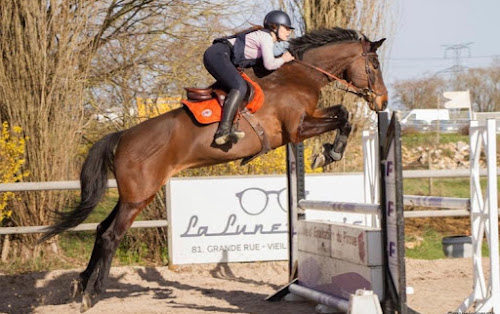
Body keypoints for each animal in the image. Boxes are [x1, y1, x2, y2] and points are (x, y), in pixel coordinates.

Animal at [41, 27, 388, 312]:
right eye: (374, 65)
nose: (382, 103)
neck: (299, 76)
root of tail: (122, 136)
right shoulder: (297, 130)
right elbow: (344, 116)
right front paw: (331, 153)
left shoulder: (305, 124)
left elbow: (342, 114)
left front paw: (328, 154)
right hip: (139, 196)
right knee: (111, 235)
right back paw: (94, 293)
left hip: (134, 195)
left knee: (101, 229)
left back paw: (80, 284)